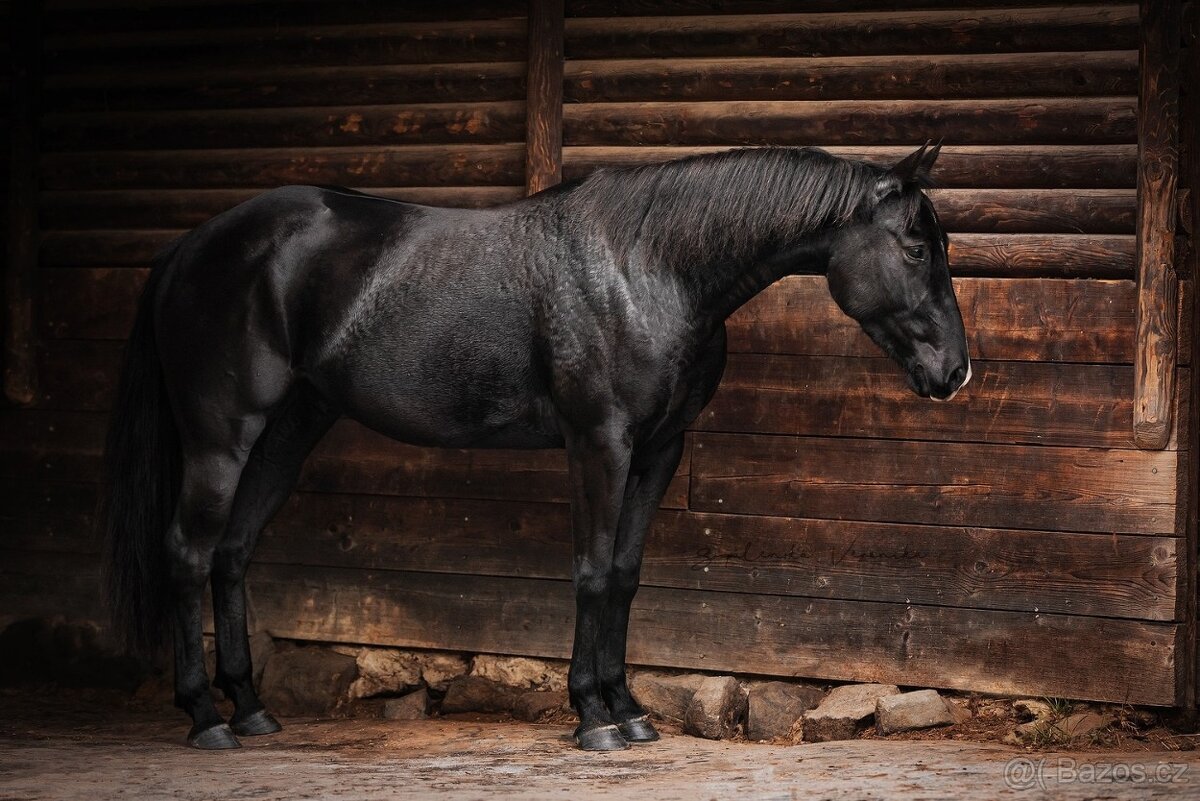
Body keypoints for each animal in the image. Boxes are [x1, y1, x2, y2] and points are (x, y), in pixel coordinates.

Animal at [100, 142, 970, 752]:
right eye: (917, 247)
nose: (957, 371)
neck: (649, 267)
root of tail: (189, 247)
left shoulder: (659, 450)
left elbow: (625, 576)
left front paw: (630, 708)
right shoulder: (599, 443)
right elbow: (591, 573)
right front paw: (592, 717)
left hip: (291, 427)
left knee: (233, 552)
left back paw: (251, 709)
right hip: (222, 433)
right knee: (188, 552)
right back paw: (206, 715)